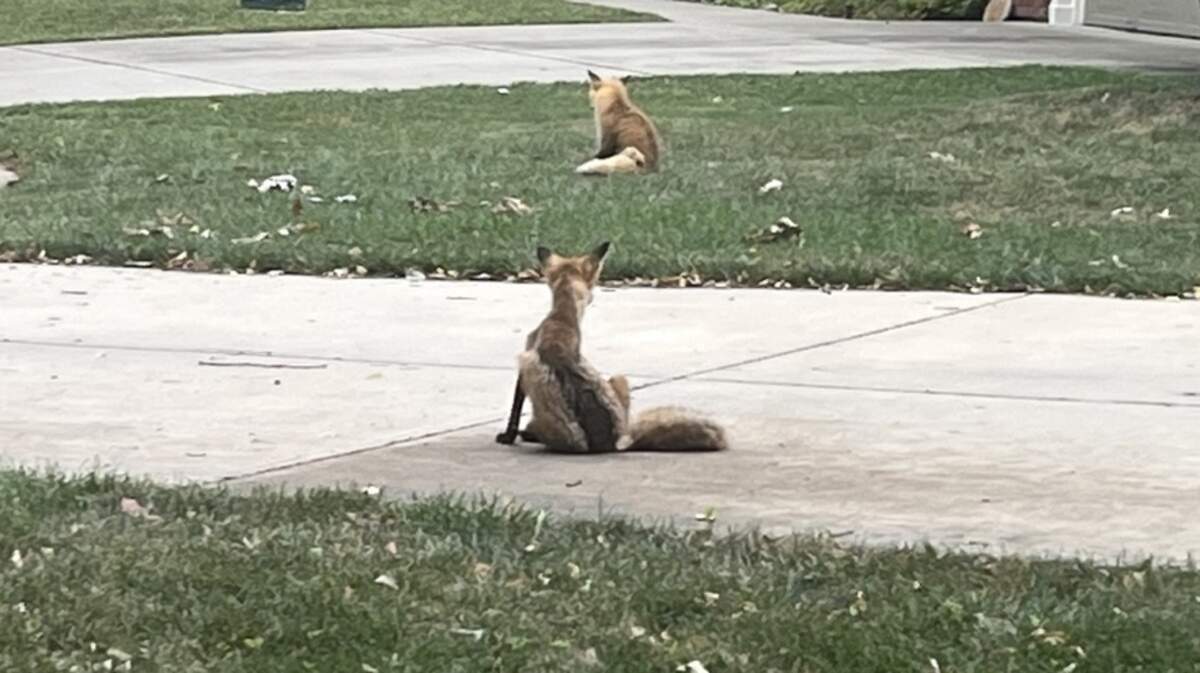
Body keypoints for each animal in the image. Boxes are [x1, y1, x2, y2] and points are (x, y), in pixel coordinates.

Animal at [494, 242, 728, 453]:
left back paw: (530, 434)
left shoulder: (525, 362)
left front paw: (508, 436)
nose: (592, 298)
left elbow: (515, 411)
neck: (562, 320)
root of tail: (618, 445)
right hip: (620, 378)